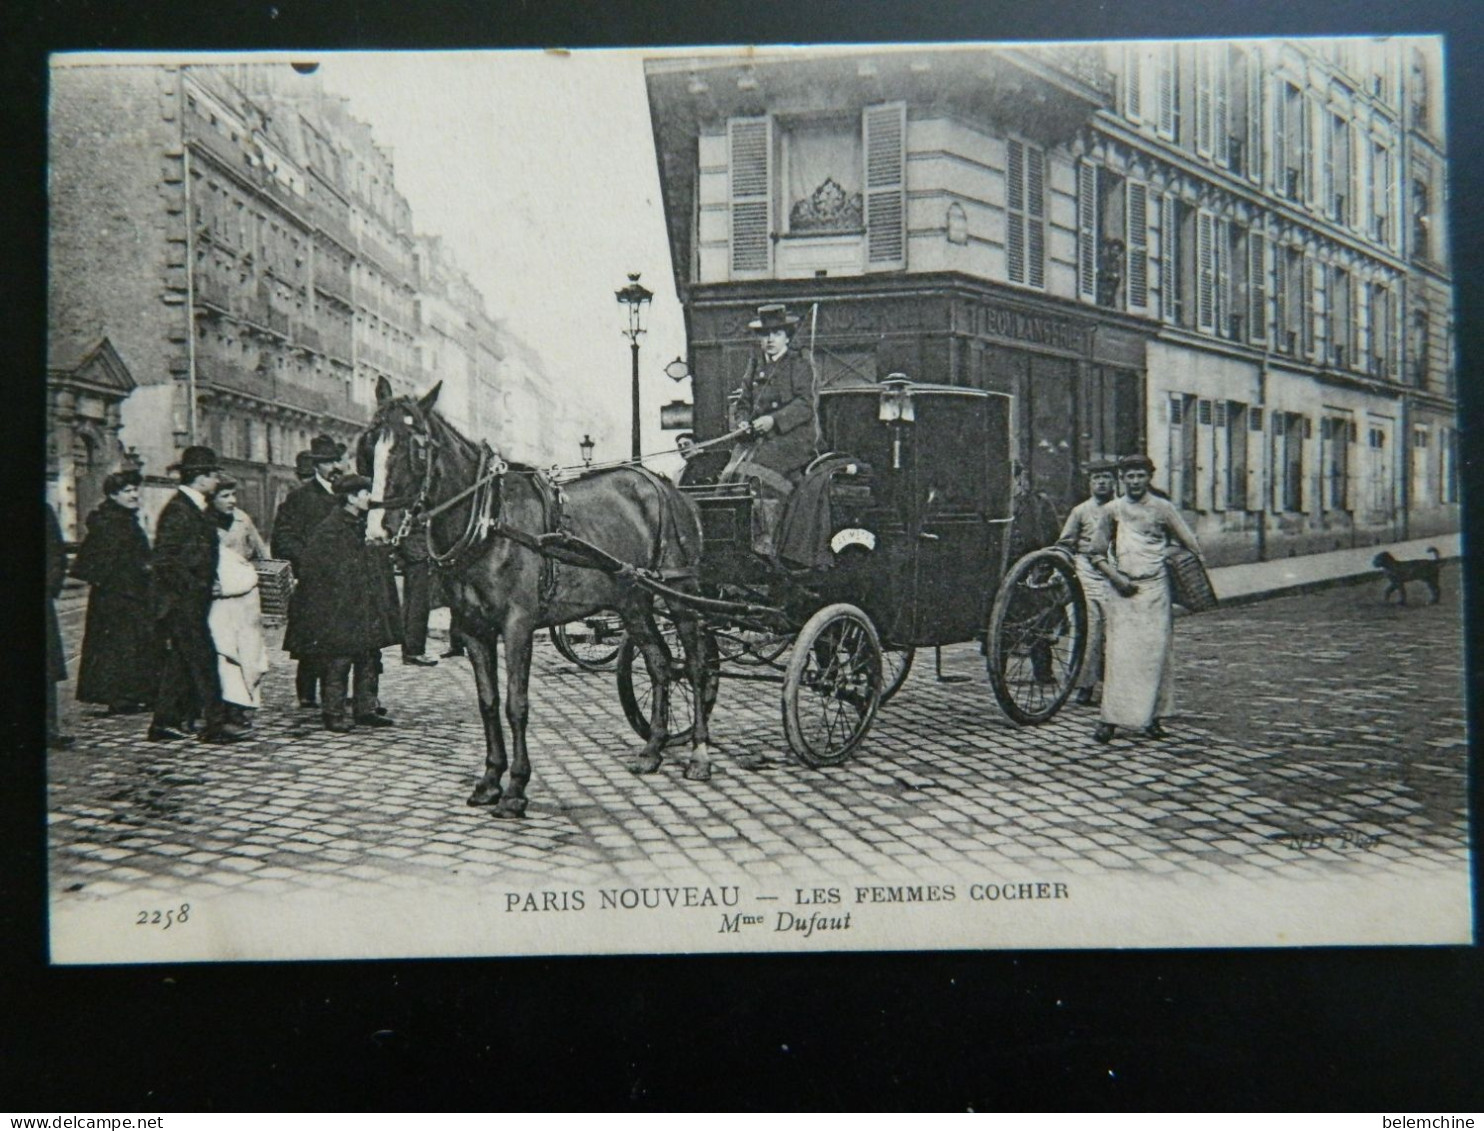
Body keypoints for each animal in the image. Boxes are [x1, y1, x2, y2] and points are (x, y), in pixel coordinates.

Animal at [368, 377, 721, 813]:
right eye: (371, 443)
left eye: (417, 447)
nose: (379, 531)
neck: (489, 521)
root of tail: (666, 486)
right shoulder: (472, 628)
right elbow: (488, 703)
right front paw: (490, 780)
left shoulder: (517, 626)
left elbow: (515, 704)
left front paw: (516, 787)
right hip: (632, 600)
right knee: (660, 663)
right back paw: (652, 750)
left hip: (678, 592)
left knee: (695, 664)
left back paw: (699, 754)